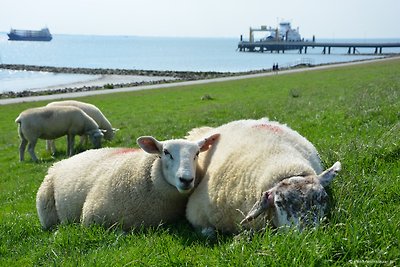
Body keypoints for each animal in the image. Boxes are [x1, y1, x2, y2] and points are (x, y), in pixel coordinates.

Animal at [186, 119, 342, 237]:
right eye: (279, 203)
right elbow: (208, 232)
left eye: (324, 198)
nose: (309, 234)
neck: (280, 160)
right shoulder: (196, 211)